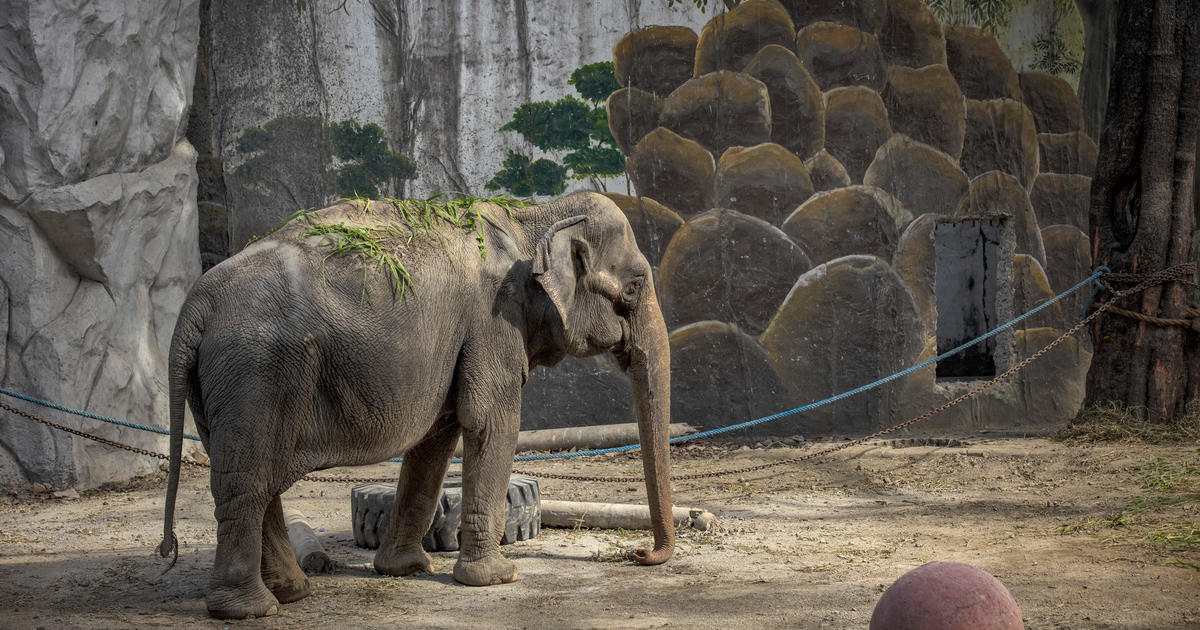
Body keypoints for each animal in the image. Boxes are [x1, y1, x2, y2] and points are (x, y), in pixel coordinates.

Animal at [158, 192, 675, 619]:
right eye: (634, 286)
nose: (640, 554)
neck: (532, 215)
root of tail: (196, 302)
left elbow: (435, 440)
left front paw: (405, 569)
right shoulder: (492, 318)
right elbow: (491, 423)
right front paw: (495, 579)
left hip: (224, 387)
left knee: (251, 478)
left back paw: (292, 592)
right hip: (255, 374)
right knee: (247, 484)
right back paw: (250, 610)